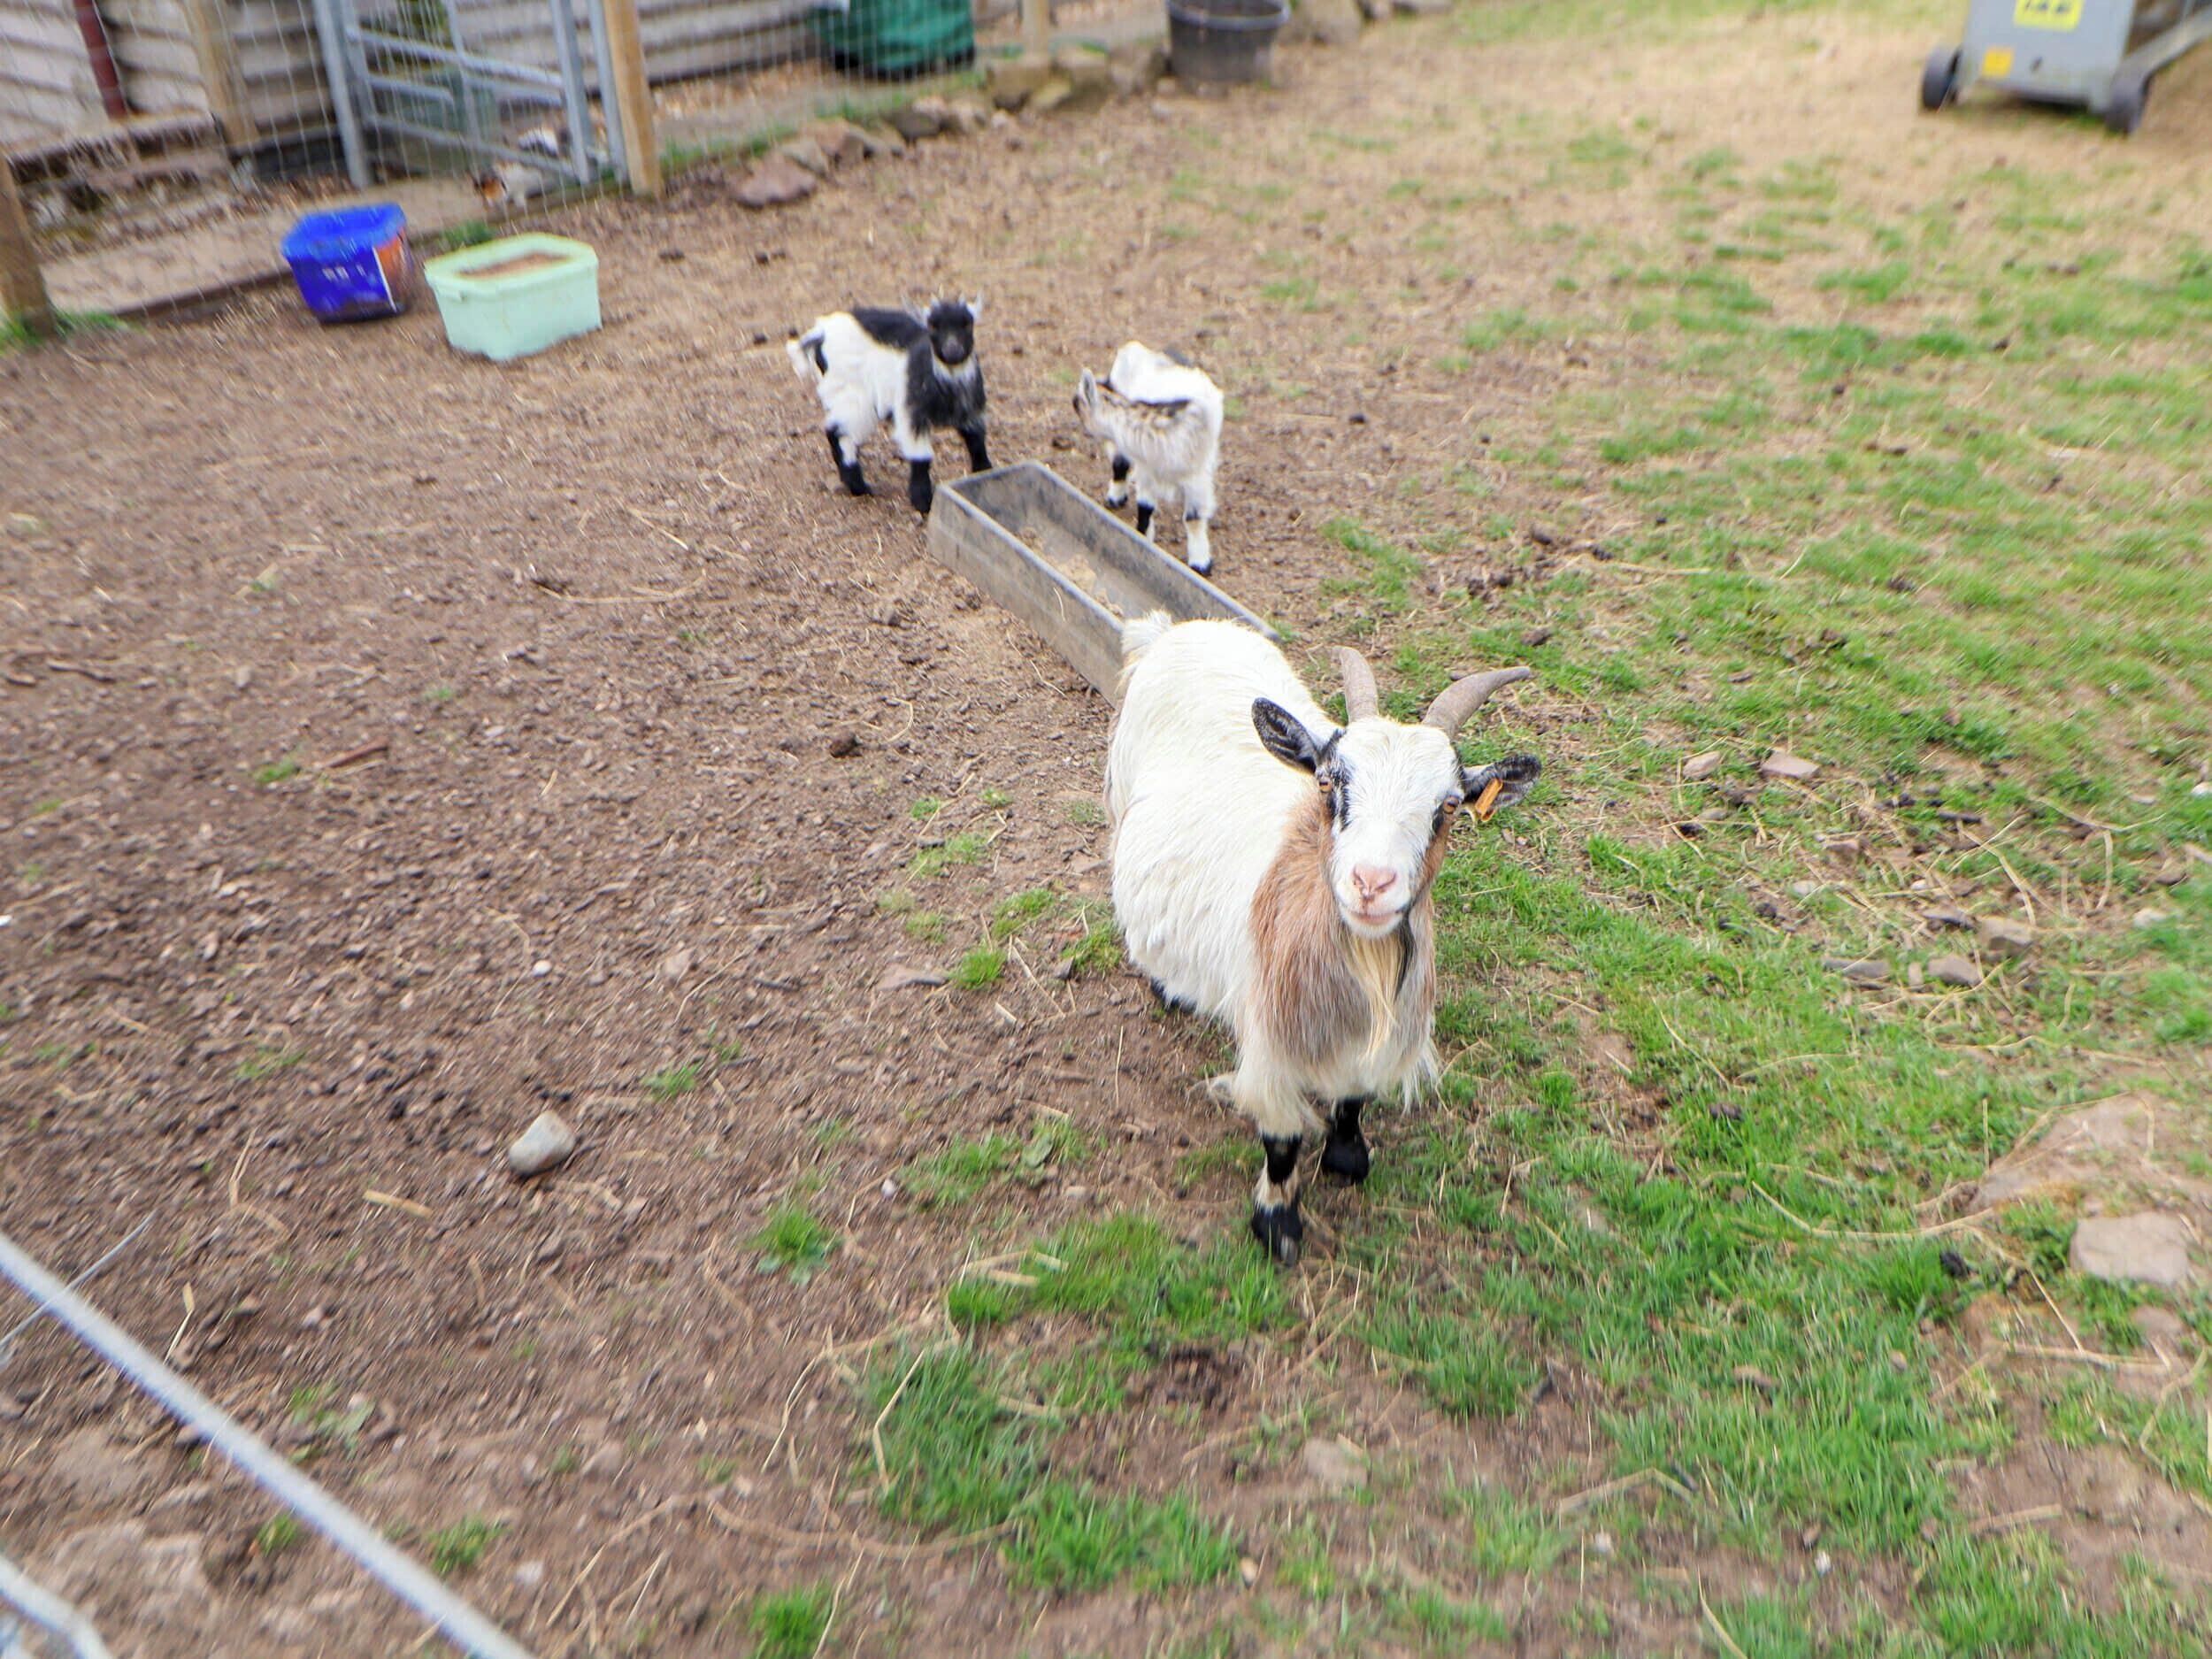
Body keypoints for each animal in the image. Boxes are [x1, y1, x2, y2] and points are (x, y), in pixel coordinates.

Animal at [787, 299, 990, 515]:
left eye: (967, 324)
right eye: (933, 326)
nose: (953, 350)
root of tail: (821, 332)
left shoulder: (971, 408)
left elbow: (976, 442)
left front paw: (984, 474)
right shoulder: (912, 410)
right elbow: (920, 454)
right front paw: (923, 502)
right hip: (851, 391)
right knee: (840, 432)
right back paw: (859, 486)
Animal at [1073, 341, 1224, 575]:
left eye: (1078, 403)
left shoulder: (1196, 477)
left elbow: (1194, 518)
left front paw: (1200, 564)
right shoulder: (1146, 468)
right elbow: (1145, 507)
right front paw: (1142, 541)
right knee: (1120, 464)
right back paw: (1116, 498)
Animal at [1106, 615, 1540, 1265]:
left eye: (1447, 806)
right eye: (1332, 784)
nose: (1371, 882)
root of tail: (1170, 631)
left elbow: (1352, 1099)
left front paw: (1347, 1155)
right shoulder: (1271, 1043)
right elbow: (1281, 1139)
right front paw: (1277, 1223)